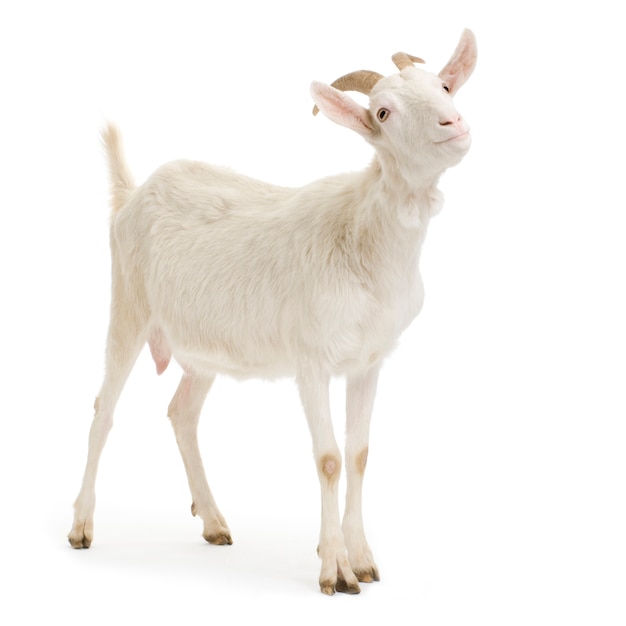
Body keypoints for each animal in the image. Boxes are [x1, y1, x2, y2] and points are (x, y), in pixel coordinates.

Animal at [68, 30, 476, 596]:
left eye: (443, 86)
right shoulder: (311, 360)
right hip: (128, 304)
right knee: (103, 409)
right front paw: (334, 571)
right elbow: (329, 460)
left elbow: (359, 455)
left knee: (182, 413)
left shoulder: (369, 361)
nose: (453, 124)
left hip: (202, 347)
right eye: (383, 112)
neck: (362, 235)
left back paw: (214, 521)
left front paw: (362, 559)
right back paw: (82, 526)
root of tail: (133, 193)